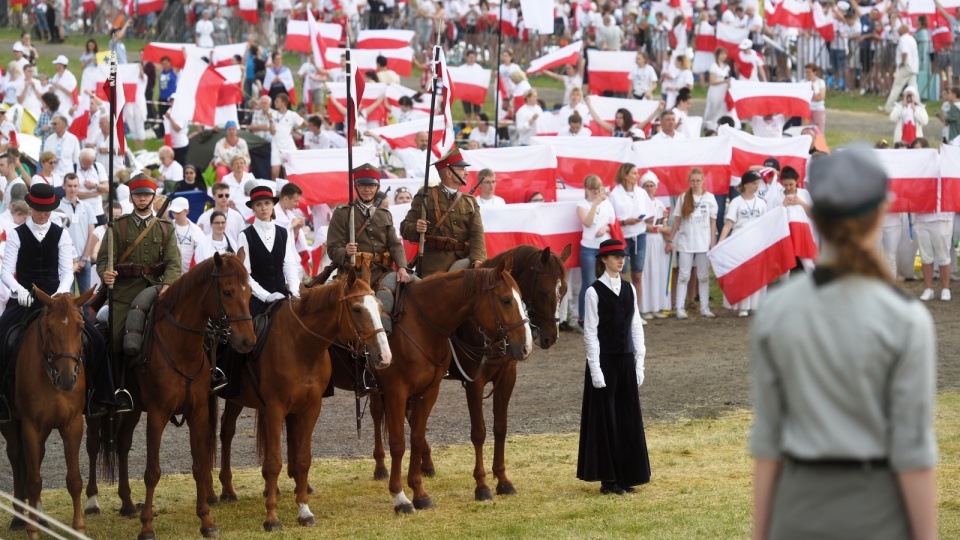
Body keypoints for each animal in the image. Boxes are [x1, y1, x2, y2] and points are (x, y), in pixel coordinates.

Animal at [0, 286, 95, 540]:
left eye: (80, 327)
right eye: (50, 328)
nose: (67, 378)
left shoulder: (73, 425)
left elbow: (74, 480)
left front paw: (78, 528)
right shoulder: (30, 426)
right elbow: (33, 481)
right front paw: (32, 530)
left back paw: (41, 517)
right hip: (11, 425)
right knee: (16, 458)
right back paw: (19, 518)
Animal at [84, 252, 255, 540]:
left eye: (249, 292)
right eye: (228, 292)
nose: (248, 341)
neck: (181, 347)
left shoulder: (198, 412)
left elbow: (199, 465)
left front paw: (206, 520)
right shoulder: (157, 415)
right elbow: (152, 472)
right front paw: (147, 527)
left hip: (133, 409)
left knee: (122, 444)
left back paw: (127, 503)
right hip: (96, 410)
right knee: (94, 446)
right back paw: (92, 502)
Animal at [219, 268, 392, 528]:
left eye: (380, 307)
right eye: (357, 309)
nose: (384, 356)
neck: (300, 344)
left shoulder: (311, 408)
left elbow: (303, 459)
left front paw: (304, 510)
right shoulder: (275, 408)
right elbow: (274, 462)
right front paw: (272, 518)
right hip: (230, 397)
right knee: (225, 432)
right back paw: (224, 491)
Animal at [326, 258, 528, 516]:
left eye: (521, 298)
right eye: (505, 300)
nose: (526, 345)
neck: (422, 326)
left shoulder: (430, 391)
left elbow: (418, 437)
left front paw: (420, 493)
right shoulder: (401, 392)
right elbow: (400, 443)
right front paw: (401, 497)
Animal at [366, 245, 568, 502]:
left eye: (564, 291)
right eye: (543, 292)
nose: (549, 338)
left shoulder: (506, 379)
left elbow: (500, 427)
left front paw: (503, 480)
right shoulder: (475, 381)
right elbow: (479, 432)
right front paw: (482, 485)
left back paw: (426, 463)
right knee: (377, 413)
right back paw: (381, 466)